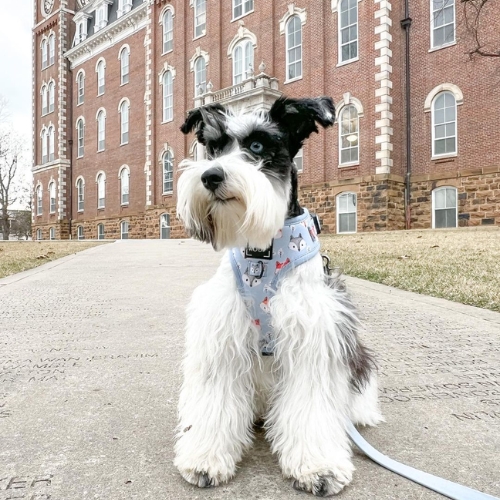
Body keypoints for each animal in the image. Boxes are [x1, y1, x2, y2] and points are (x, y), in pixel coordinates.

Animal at [173, 96, 382, 496]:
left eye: (257, 146)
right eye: (213, 148)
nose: (211, 176)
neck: (263, 252)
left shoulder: (313, 340)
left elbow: (311, 405)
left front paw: (318, 466)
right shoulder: (222, 338)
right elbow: (216, 399)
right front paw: (206, 456)